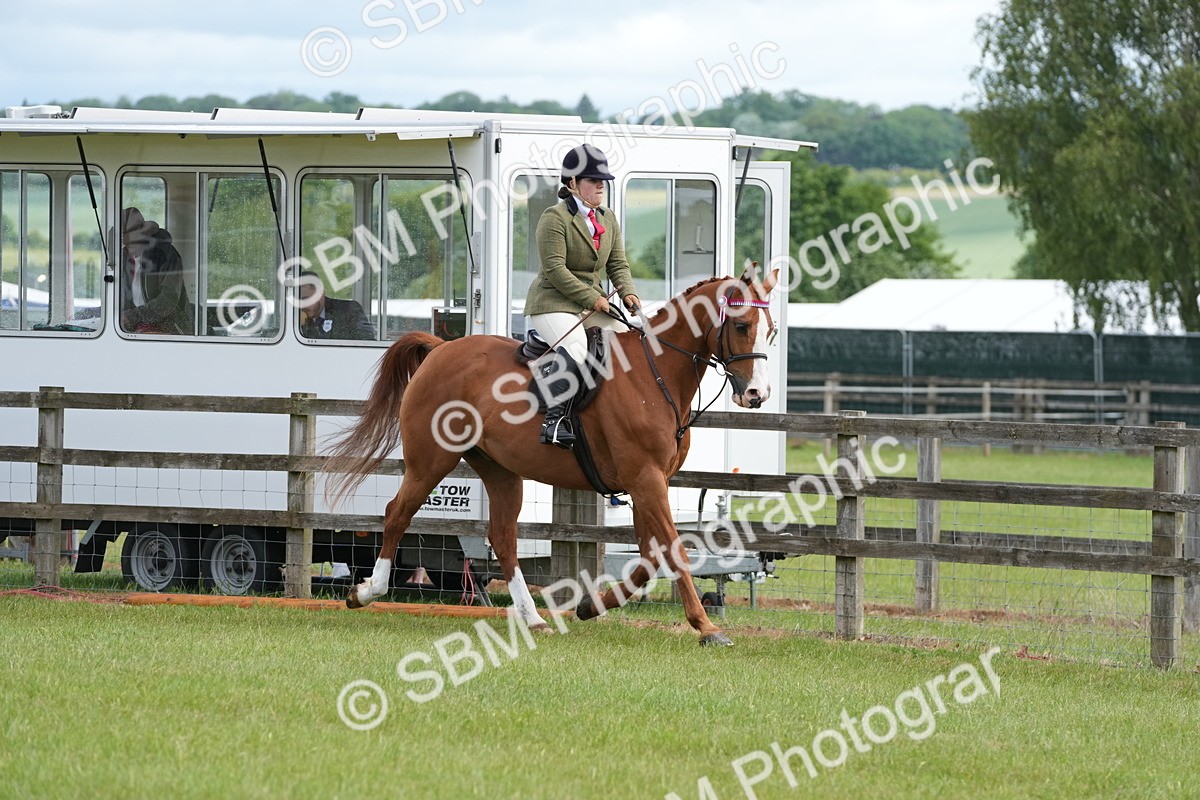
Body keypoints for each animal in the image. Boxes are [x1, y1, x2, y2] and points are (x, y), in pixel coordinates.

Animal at [325, 267, 780, 646]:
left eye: (772, 332)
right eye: (741, 326)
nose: (756, 394)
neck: (656, 373)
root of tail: (440, 349)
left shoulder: (647, 483)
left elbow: (651, 558)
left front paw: (590, 606)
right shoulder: (646, 479)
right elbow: (674, 551)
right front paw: (707, 628)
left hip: (500, 470)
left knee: (503, 538)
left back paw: (533, 618)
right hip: (430, 460)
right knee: (397, 513)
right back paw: (366, 592)